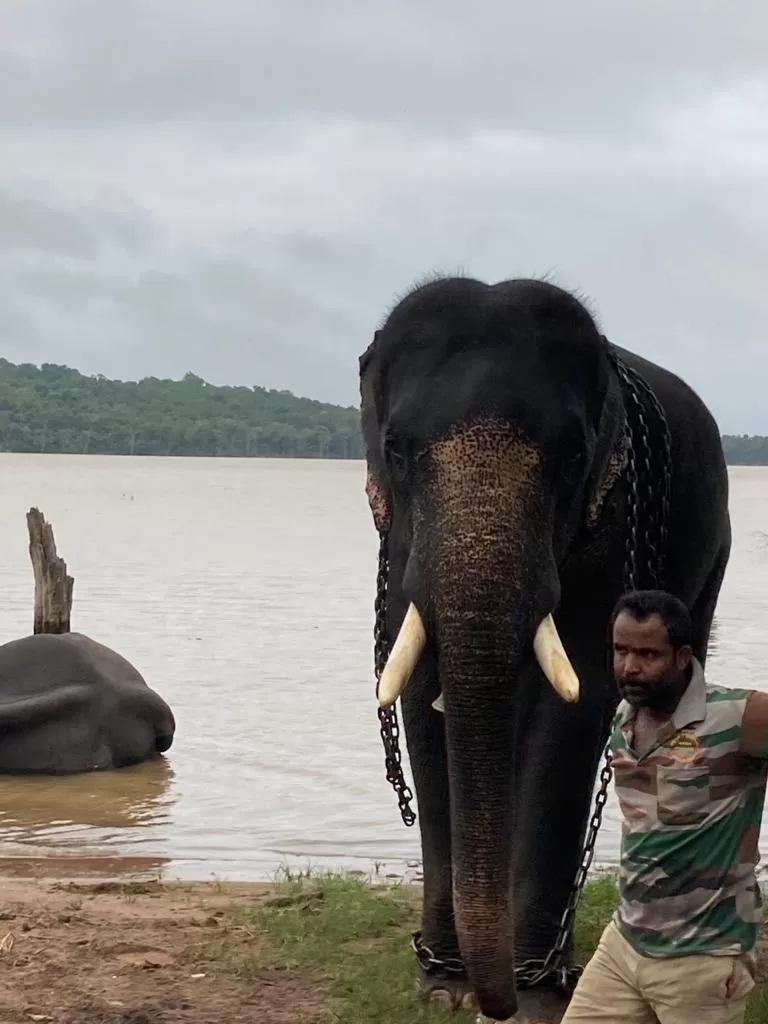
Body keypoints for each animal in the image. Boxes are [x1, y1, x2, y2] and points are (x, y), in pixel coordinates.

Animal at [360, 276, 733, 1019]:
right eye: (396, 448)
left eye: (574, 458)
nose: (495, 1001)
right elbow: (420, 697)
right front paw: (443, 991)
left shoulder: (609, 532)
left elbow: (573, 708)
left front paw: (532, 997)